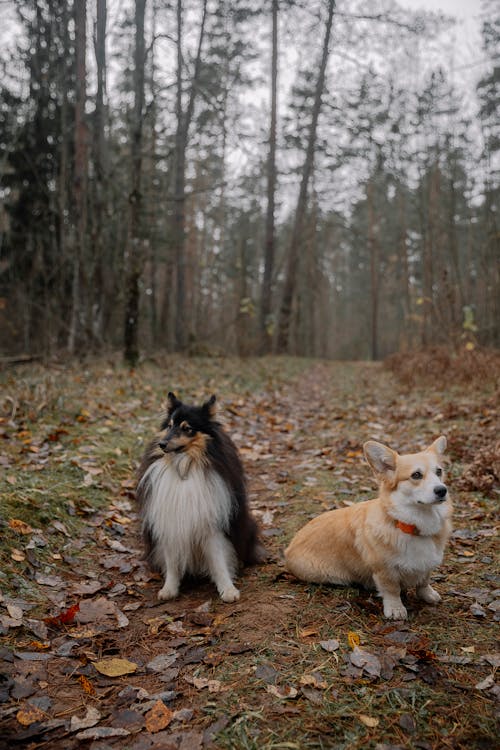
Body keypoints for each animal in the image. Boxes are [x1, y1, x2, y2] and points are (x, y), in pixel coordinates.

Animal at [135, 394, 264, 604]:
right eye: (170, 425)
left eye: (187, 428)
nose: (161, 444)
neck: (185, 466)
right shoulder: (170, 523)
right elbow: (172, 562)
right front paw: (169, 589)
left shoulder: (211, 526)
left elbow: (219, 561)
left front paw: (228, 590)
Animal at [286, 438, 454, 620]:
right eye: (416, 475)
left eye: (439, 471)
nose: (442, 490)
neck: (412, 525)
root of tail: (289, 547)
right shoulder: (384, 570)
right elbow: (392, 590)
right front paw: (395, 609)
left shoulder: (427, 565)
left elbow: (423, 582)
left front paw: (428, 595)